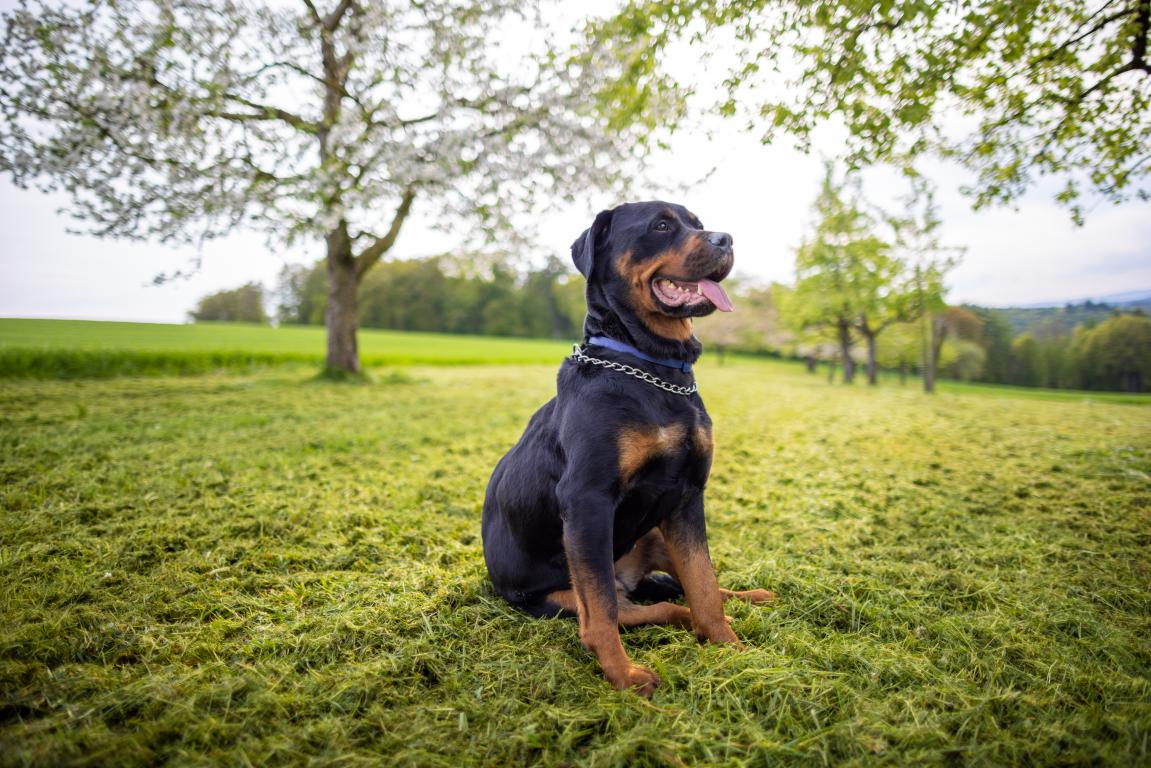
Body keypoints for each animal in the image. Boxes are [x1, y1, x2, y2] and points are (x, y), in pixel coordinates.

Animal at [481, 201, 768, 695]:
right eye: (662, 226)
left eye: (697, 223)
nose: (726, 239)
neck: (651, 367)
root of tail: (629, 580)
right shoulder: (587, 501)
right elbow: (602, 616)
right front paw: (624, 675)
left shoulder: (687, 496)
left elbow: (704, 581)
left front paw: (730, 647)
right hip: (562, 593)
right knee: (633, 608)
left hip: (652, 531)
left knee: (688, 590)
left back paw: (750, 597)